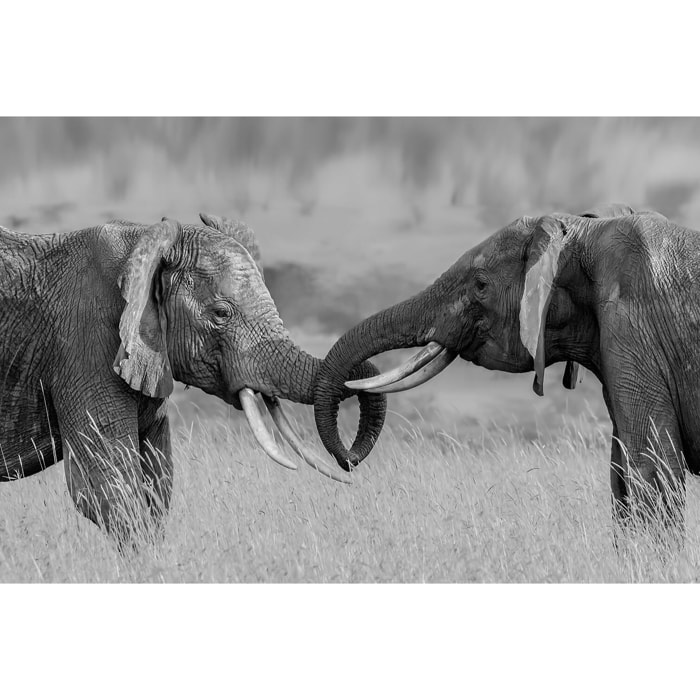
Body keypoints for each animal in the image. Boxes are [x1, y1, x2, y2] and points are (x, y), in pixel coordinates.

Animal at [0, 213, 386, 545]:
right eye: (221, 313)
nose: (349, 459)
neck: (141, 245)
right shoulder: (85, 344)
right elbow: (109, 489)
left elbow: (158, 485)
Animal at [313, 203, 699, 531]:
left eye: (481, 284)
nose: (349, 461)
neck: (585, 234)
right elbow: (620, 476)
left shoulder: (634, 328)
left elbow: (651, 467)